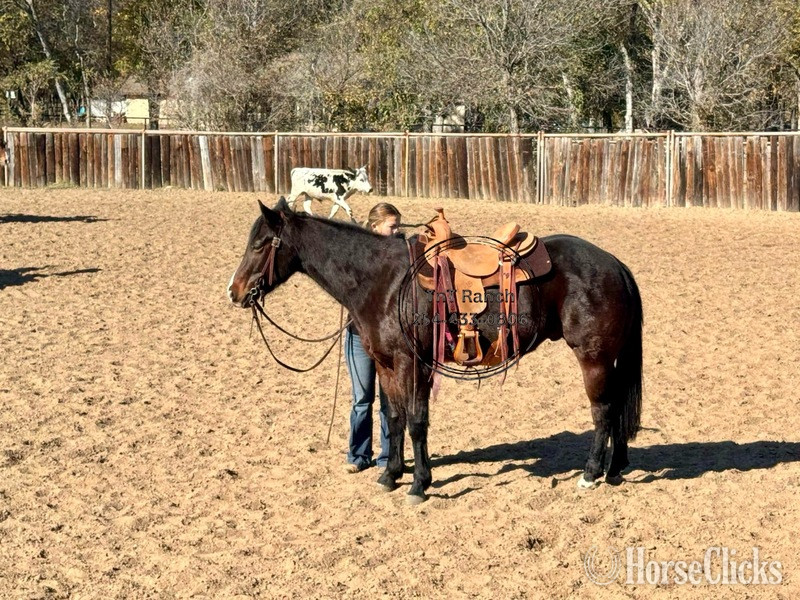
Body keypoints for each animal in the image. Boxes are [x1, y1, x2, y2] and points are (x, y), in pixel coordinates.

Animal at [227, 198, 643, 504]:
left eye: (260, 244)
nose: (234, 291)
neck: (384, 282)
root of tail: (615, 265)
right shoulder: (387, 365)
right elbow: (394, 418)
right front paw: (391, 475)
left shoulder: (411, 364)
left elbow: (416, 421)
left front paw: (418, 485)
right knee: (617, 407)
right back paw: (615, 470)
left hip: (594, 358)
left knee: (604, 412)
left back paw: (590, 474)